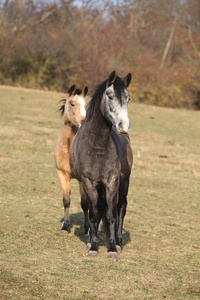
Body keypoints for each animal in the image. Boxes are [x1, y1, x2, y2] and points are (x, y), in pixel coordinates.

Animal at [69, 71, 134, 258]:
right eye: (110, 96)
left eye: (127, 98)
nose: (123, 126)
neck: (97, 146)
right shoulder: (89, 183)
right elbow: (94, 213)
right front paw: (93, 246)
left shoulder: (112, 181)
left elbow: (112, 214)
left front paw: (112, 248)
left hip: (124, 181)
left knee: (121, 207)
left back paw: (118, 241)